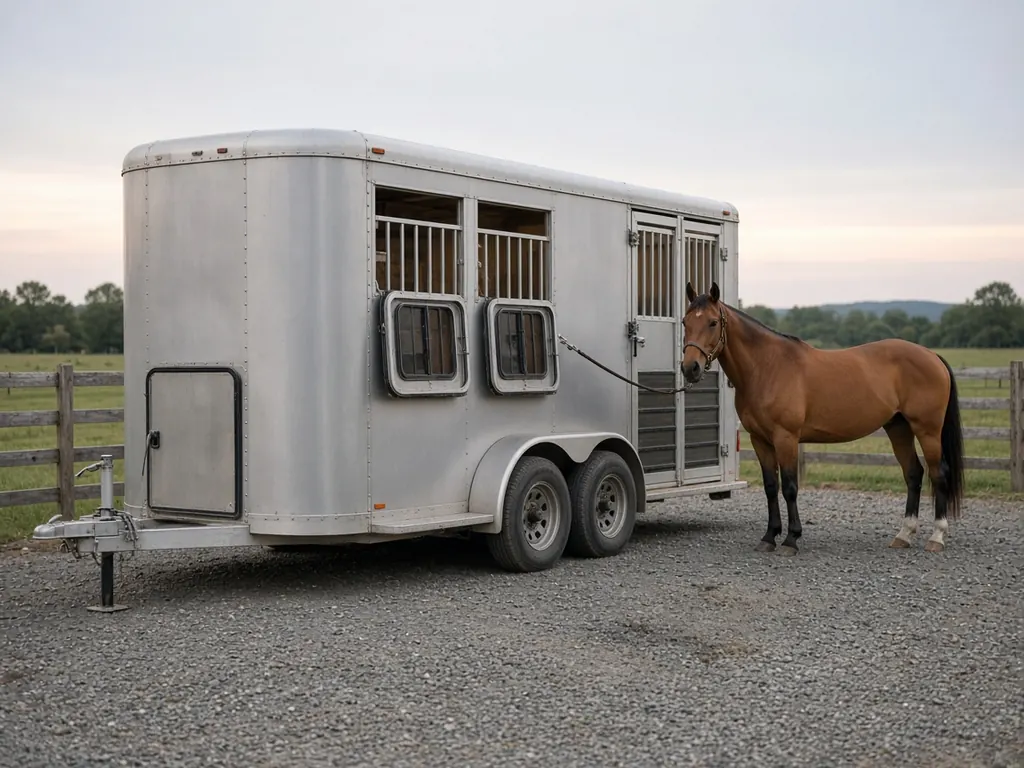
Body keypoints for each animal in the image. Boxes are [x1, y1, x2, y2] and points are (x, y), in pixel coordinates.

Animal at [680, 281, 965, 556]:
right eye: (685, 321)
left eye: (712, 322)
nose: (689, 368)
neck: (767, 367)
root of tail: (932, 356)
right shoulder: (760, 440)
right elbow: (771, 487)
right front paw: (769, 537)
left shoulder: (786, 438)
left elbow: (790, 487)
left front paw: (791, 540)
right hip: (898, 428)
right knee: (914, 474)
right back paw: (904, 535)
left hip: (927, 430)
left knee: (938, 473)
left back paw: (937, 537)